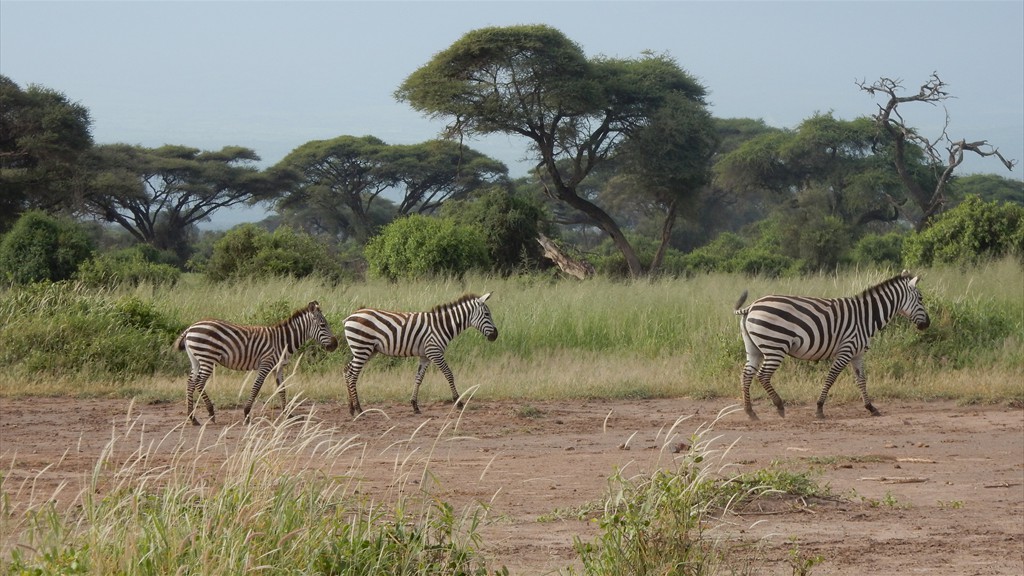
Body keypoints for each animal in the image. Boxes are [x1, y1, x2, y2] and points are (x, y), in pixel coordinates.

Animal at [174, 297, 337, 424]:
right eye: (323, 325)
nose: (335, 345)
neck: (282, 341)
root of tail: (191, 328)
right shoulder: (266, 364)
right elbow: (257, 387)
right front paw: (246, 414)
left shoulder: (278, 367)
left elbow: (282, 389)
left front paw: (288, 414)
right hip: (207, 358)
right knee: (199, 383)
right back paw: (211, 413)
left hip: (196, 360)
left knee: (190, 383)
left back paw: (192, 418)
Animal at [342, 293, 497, 414]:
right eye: (487, 314)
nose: (495, 335)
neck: (442, 325)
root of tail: (350, 316)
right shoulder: (435, 352)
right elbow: (449, 374)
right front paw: (458, 402)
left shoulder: (425, 356)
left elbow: (418, 378)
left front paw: (414, 405)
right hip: (362, 348)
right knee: (353, 375)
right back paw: (359, 409)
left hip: (366, 350)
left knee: (347, 371)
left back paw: (351, 408)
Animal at [733, 270, 933, 420]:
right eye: (921, 299)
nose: (927, 324)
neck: (866, 316)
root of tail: (751, 307)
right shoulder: (846, 349)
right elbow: (831, 378)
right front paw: (819, 409)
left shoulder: (857, 354)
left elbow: (861, 380)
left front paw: (871, 407)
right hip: (776, 346)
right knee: (763, 375)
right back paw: (779, 406)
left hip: (754, 349)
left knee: (747, 374)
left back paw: (750, 412)